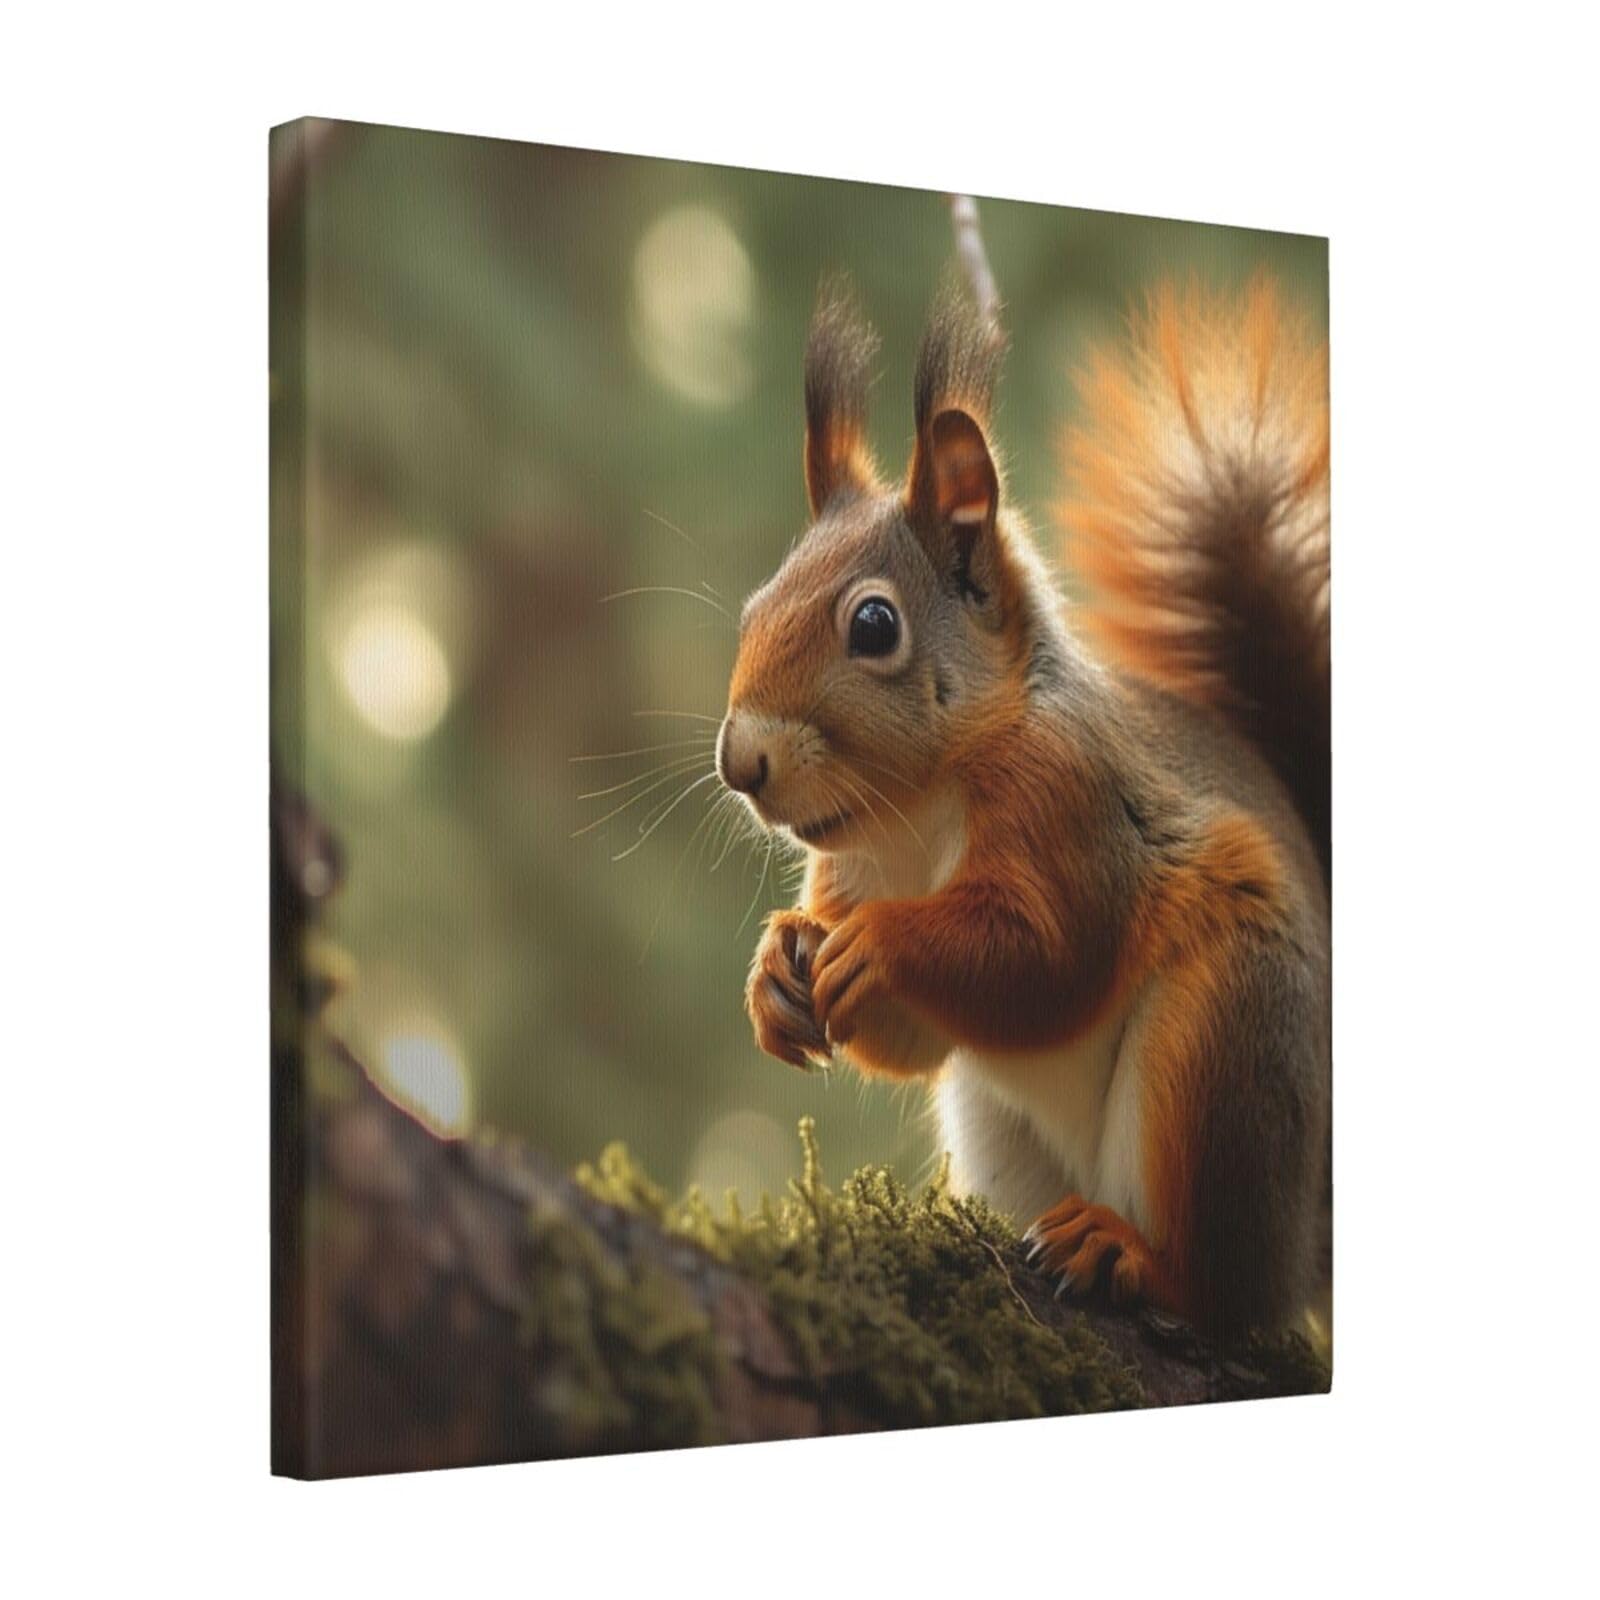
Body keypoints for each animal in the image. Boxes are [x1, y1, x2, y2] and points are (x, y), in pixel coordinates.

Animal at [716, 271, 1330, 1341]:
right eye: (753, 611)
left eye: (873, 624)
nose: (737, 762)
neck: (917, 810)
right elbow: (912, 1038)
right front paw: (777, 967)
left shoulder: (1075, 802)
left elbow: (1045, 953)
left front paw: (881, 945)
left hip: (1227, 1045)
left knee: (1235, 1293)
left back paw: (1134, 1257)